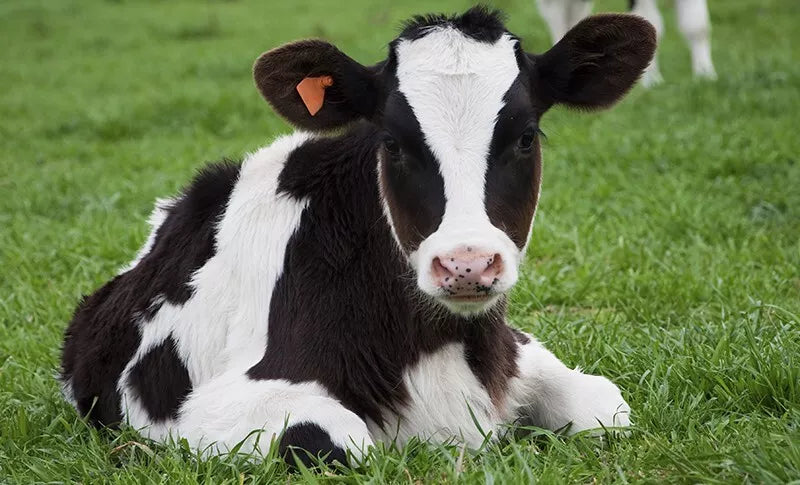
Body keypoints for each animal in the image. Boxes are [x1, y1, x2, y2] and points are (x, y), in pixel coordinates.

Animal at [60, 7, 656, 467]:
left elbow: (606, 406)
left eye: (526, 137)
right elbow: (334, 441)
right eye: (391, 141)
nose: (466, 264)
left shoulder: (522, 352)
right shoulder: (207, 409)